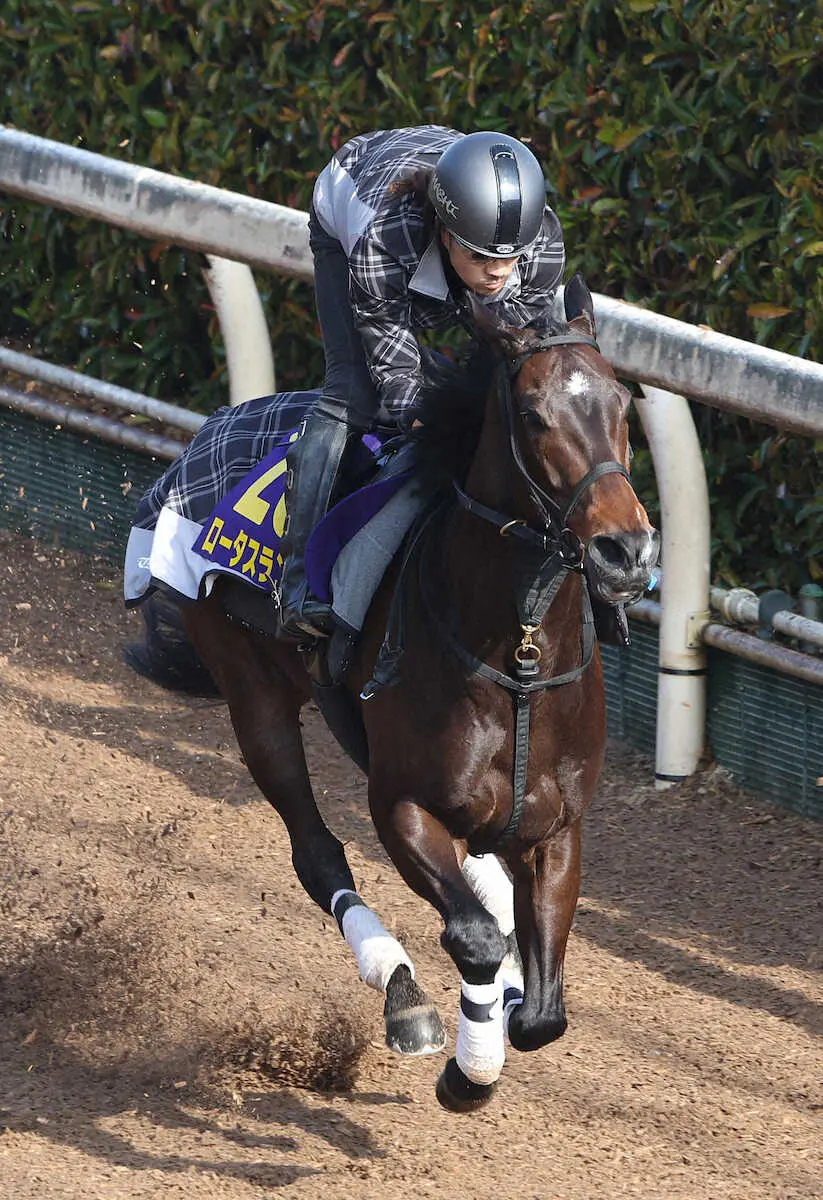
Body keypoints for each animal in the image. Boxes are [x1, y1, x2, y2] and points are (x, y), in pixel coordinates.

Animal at [179, 276, 662, 1108]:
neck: (519, 659)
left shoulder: (557, 829)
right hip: (252, 693)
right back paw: (402, 994)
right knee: (317, 853)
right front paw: (468, 1070)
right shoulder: (400, 801)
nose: (623, 550)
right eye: (532, 415)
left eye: (621, 404)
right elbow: (472, 937)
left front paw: (506, 1012)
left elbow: (542, 1013)